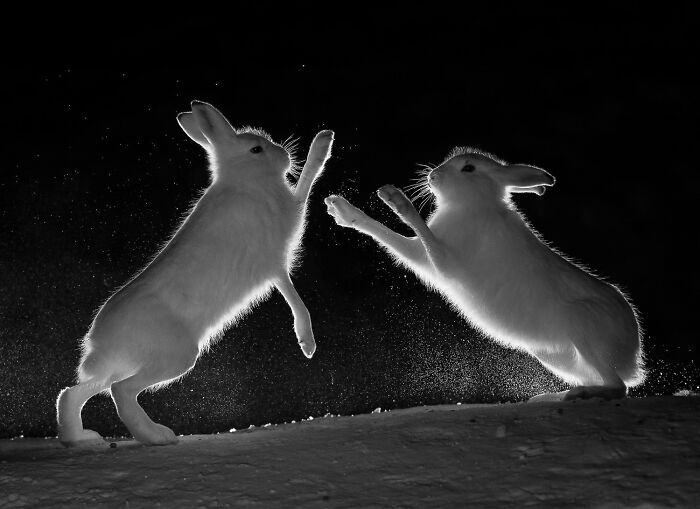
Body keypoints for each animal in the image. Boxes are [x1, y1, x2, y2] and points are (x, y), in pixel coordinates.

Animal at [56, 101, 334, 446]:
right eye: (256, 149)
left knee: (74, 393)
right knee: (121, 390)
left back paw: (80, 438)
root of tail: (99, 340)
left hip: (123, 365)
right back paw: (157, 437)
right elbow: (306, 188)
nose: (282, 153)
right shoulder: (278, 250)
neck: (244, 180)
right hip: (177, 355)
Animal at [325, 146, 644, 402]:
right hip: (555, 355)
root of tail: (632, 356)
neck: (473, 203)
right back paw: (551, 396)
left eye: (468, 168)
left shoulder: (442, 260)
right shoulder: (423, 255)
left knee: (618, 387)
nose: (433, 177)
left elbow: (413, 230)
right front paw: (342, 212)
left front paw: (396, 199)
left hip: (583, 326)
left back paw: (578, 395)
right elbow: (385, 233)